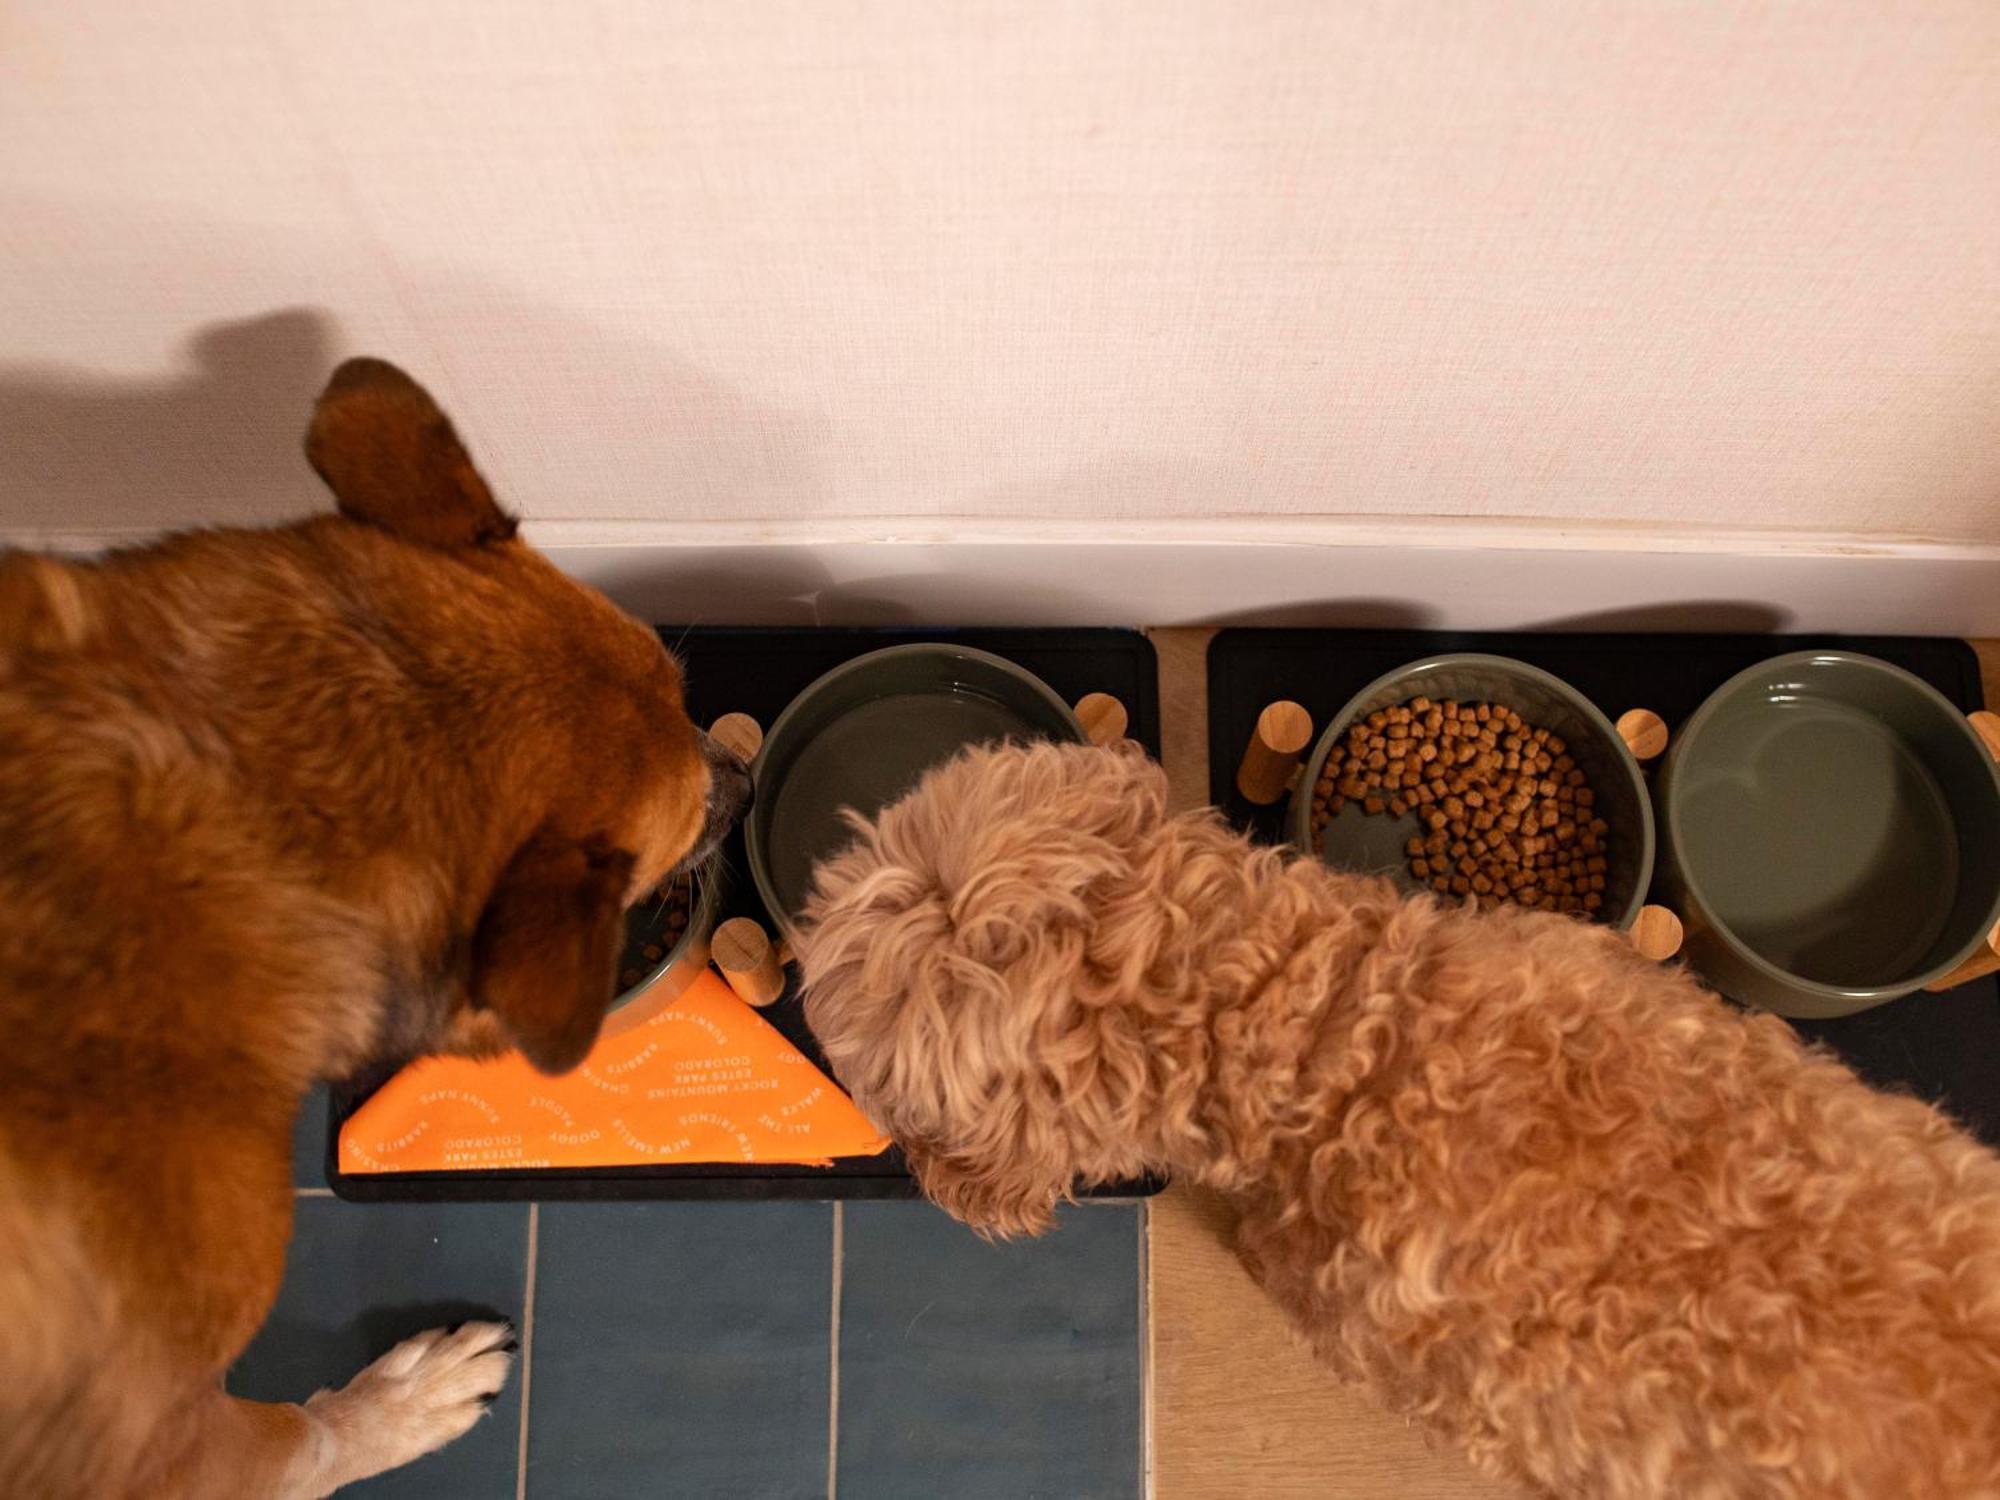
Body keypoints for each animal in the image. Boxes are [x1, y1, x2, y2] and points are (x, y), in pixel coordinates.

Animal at [0, 364, 752, 1500]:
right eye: (662, 846)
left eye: (678, 686)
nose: (746, 782)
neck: (249, 814)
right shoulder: (159, 1431)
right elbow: (299, 1445)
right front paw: (403, 1409)